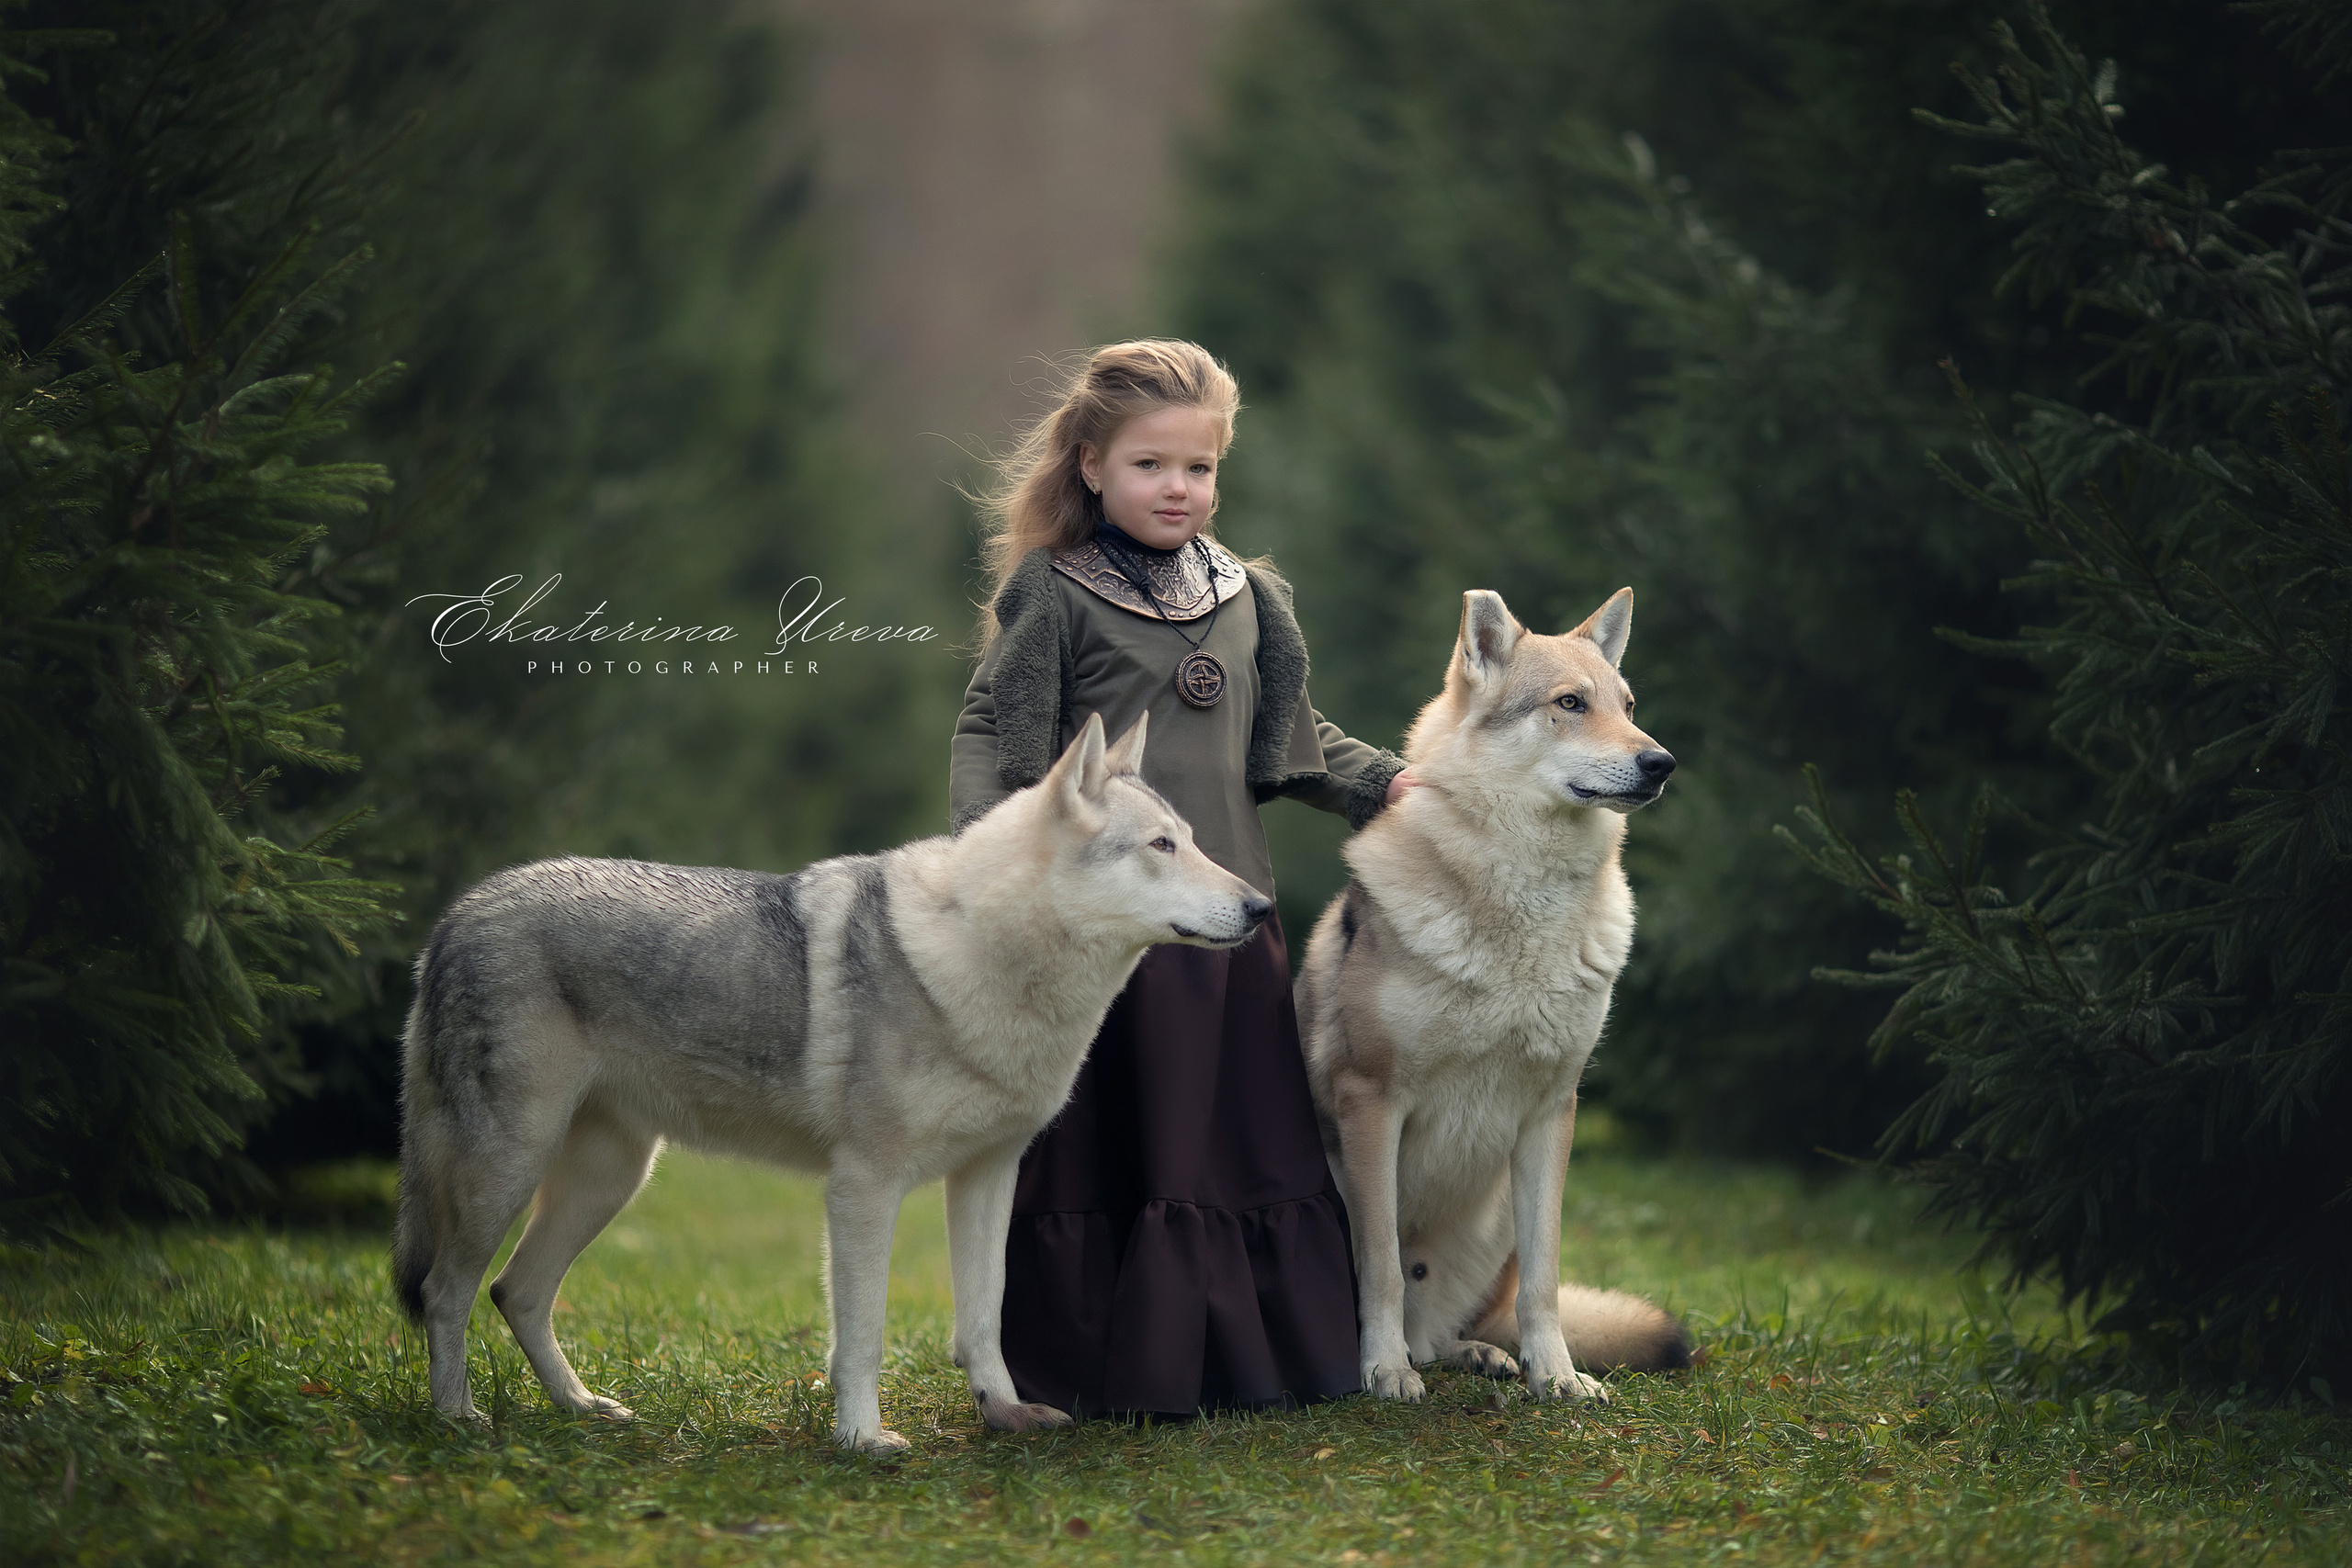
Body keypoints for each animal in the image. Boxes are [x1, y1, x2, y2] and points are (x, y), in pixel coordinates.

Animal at [394, 712, 1269, 1453]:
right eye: (1161, 845)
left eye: (1192, 841)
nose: (1260, 905)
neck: (987, 957)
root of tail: (457, 914)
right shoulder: (863, 1188)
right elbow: (864, 1334)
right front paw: (860, 1440)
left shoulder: (988, 1176)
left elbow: (983, 1317)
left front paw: (1005, 1414)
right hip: (510, 1170)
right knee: (446, 1290)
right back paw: (458, 1418)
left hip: (609, 1179)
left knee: (518, 1290)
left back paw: (581, 1407)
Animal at [1298, 587, 1691, 1406]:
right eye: (1570, 703)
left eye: (1628, 705)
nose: (1662, 761)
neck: (1524, 899)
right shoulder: (1369, 1098)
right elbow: (1381, 1267)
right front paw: (1382, 1372)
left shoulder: (1552, 1110)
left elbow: (1546, 1280)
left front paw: (1560, 1377)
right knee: (1411, 1312)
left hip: (1498, 1221)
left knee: (1447, 1331)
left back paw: (1484, 1356)